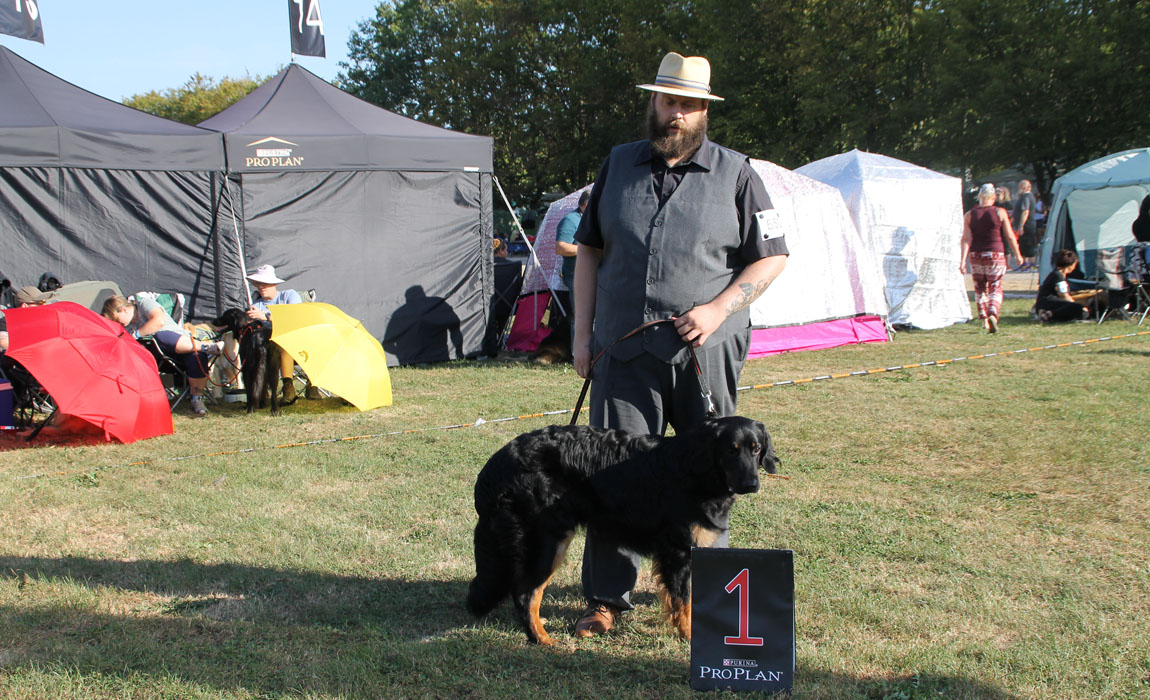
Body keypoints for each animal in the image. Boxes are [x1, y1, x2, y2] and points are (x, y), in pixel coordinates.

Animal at [466, 413, 782, 643]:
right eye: (731, 450)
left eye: (756, 449)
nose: (751, 484)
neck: (696, 466)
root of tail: (493, 467)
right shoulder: (678, 550)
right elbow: (684, 601)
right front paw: (690, 636)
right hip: (547, 540)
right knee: (525, 594)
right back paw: (541, 639)